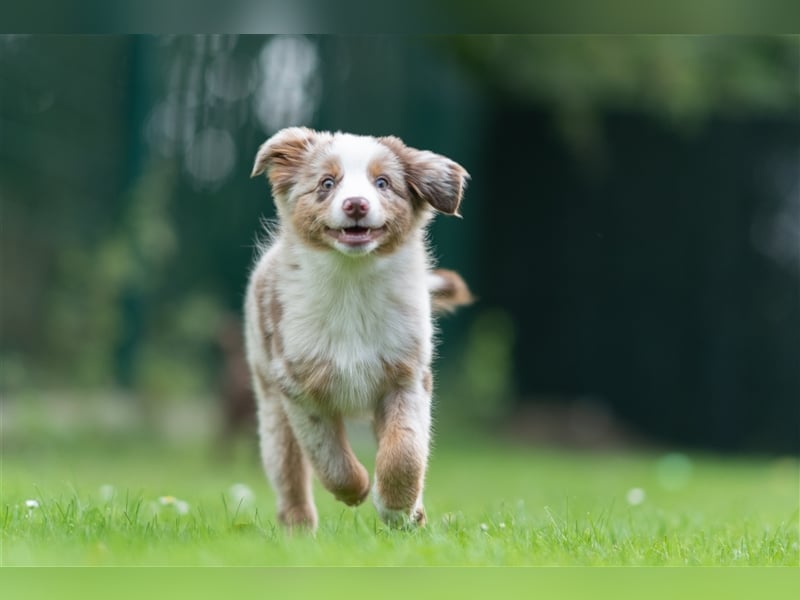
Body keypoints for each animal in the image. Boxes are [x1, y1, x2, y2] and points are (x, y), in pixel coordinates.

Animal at [244, 127, 468, 528]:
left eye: (383, 183)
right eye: (327, 183)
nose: (356, 205)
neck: (352, 279)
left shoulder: (406, 378)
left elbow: (405, 452)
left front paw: (397, 508)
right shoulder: (298, 388)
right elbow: (329, 459)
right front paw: (357, 490)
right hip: (270, 405)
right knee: (289, 474)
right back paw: (298, 529)